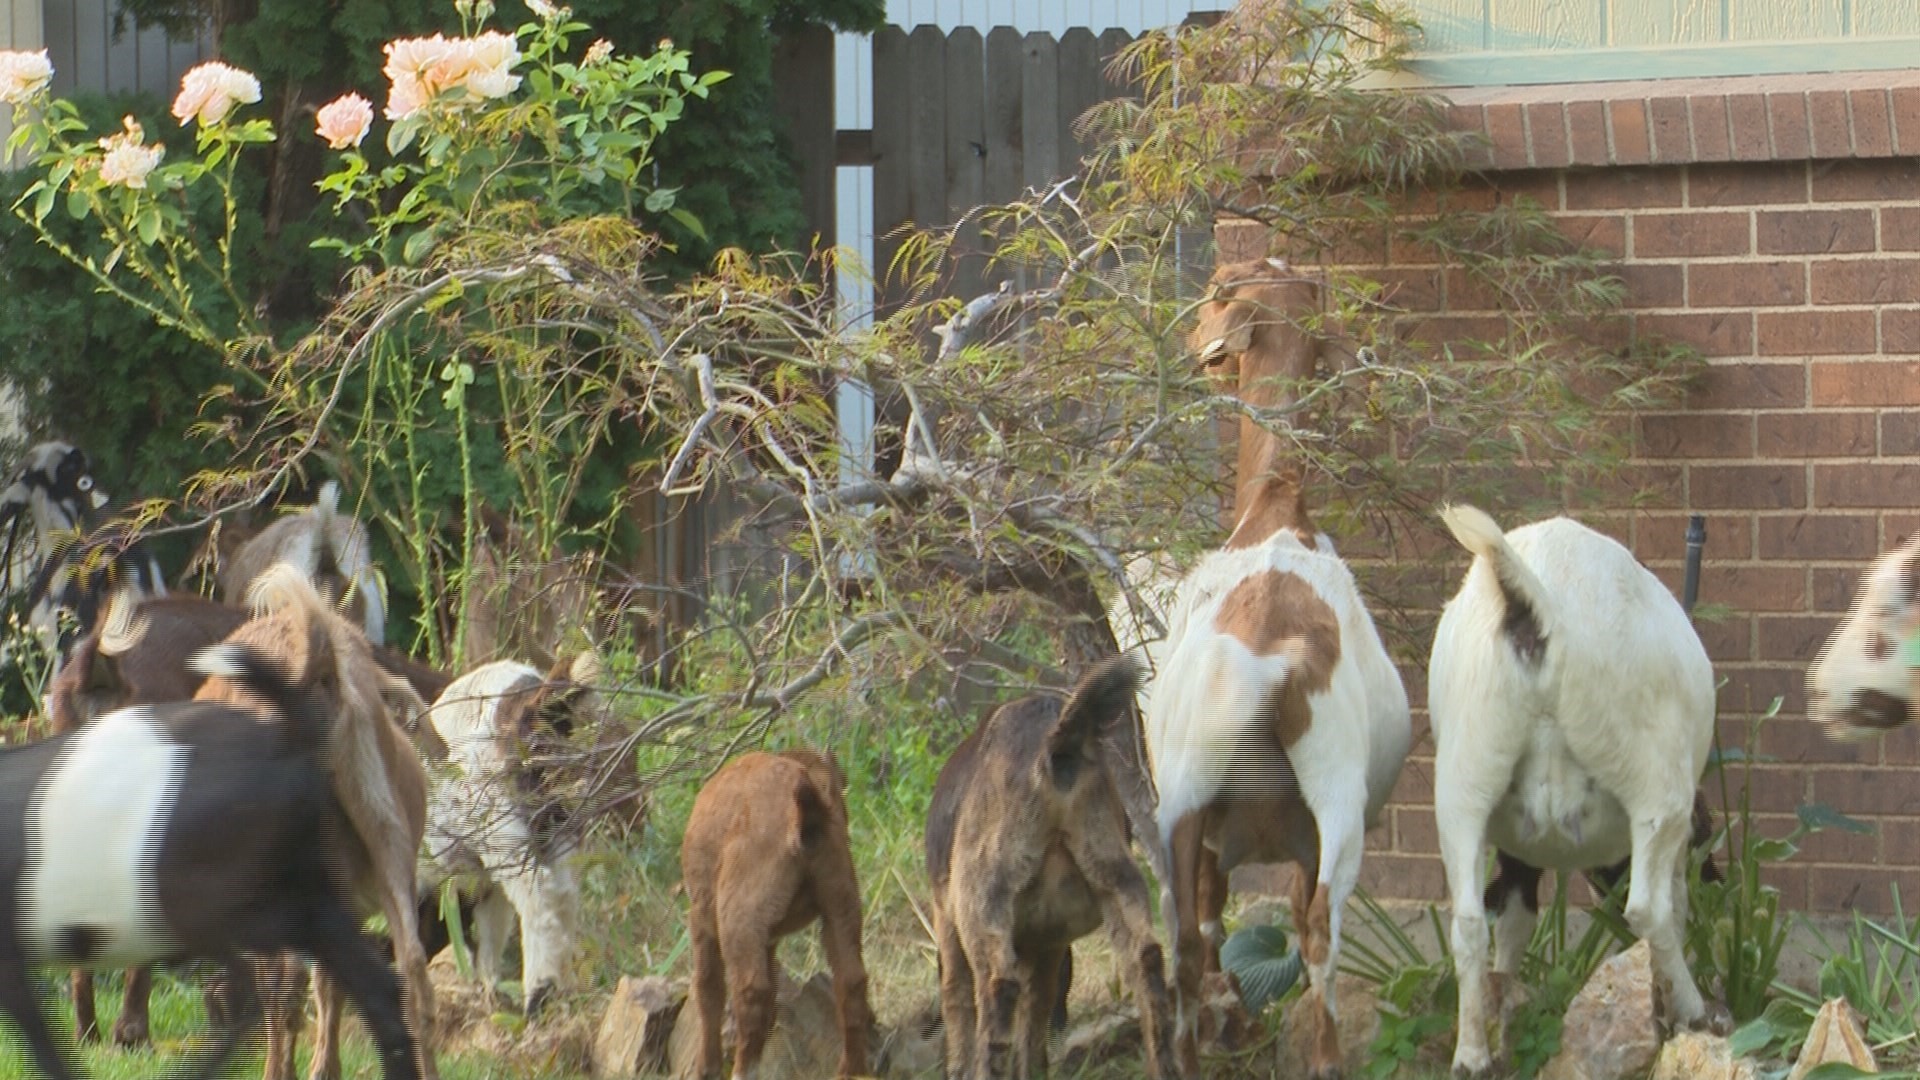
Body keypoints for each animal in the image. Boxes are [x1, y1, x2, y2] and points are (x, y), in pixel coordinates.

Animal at [415, 654, 601, 1017]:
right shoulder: (481, 883)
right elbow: (490, 934)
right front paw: (489, 993)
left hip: (500, 828)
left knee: (539, 895)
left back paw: (539, 995)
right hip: (562, 814)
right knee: (565, 892)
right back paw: (563, 987)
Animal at [681, 748, 873, 1080]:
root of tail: (806, 812)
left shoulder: (702, 915)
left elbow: (708, 986)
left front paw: (706, 1067)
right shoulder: (770, 936)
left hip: (738, 917)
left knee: (750, 992)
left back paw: (743, 1069)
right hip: (841, 902)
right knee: (851, 980)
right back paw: (852, 1070)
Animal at [928, 655, 1176, 1080]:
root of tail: (1057, 745)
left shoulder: (947, 916)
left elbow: (957, 996)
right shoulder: (1051, 940)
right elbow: (1037, 1013)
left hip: (984, 895)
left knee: (997, 988)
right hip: (1115, 872)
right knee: (1146, 959)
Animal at [1144, 258, 1411, 1080]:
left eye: (1215, 293)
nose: (1191, 346)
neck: (1274, 508)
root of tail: (1272, 666)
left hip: (1200, 796)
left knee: (1202, 938)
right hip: (1322, 800)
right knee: (1296, 926)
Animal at [1428, 504, 1718, 1078]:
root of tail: (1535, 604)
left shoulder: (1515, 849)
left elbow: (1514, 923)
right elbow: (1674, 906)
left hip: (1466, 777)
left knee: (1468, 923)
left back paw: (1471, 1055)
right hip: (1653, 781)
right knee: (1646, 908)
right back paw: (1696, 1008)